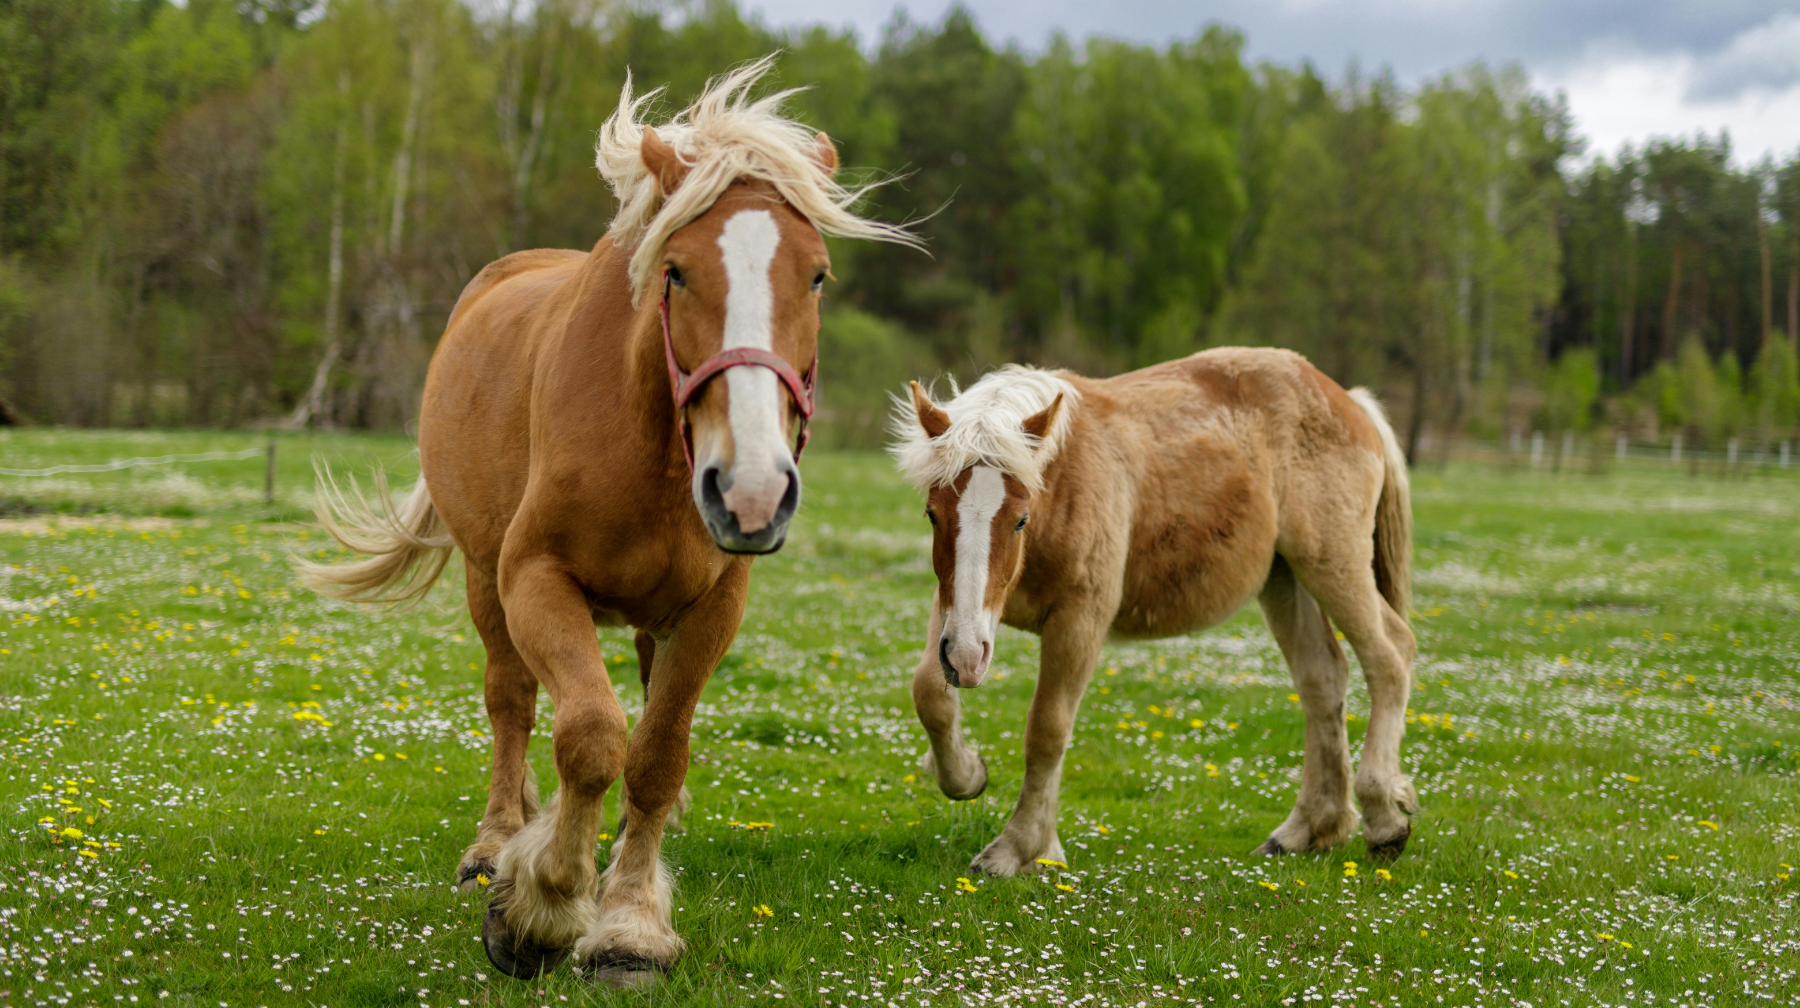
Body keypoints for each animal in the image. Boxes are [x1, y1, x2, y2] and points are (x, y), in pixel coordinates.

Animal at [300, 57, 914, 986]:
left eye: (815, 276)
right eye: (677, 271)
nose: (753, 490)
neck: (649, 446)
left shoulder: (713, 608)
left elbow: (656, 755)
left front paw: (629, 919)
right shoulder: (535, 579)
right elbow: (587, 735)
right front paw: (539, 905)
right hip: (484, 579)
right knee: (511, 701)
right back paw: (497, 841)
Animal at [889, 351, 1418, 878]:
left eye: (1021, 519)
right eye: (934, 514)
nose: (967, 660)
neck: (1064, 484)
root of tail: (1348, 400)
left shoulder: (1079, 620)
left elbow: (1047, 729)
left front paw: (1019, 849)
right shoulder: (958, 611)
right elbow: (930, 694)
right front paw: (966, 774)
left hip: (1333, 564)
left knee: (1390, 656)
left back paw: (1384, 819)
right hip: (1284, 579)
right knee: (1322, 679)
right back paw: (1305, 831)